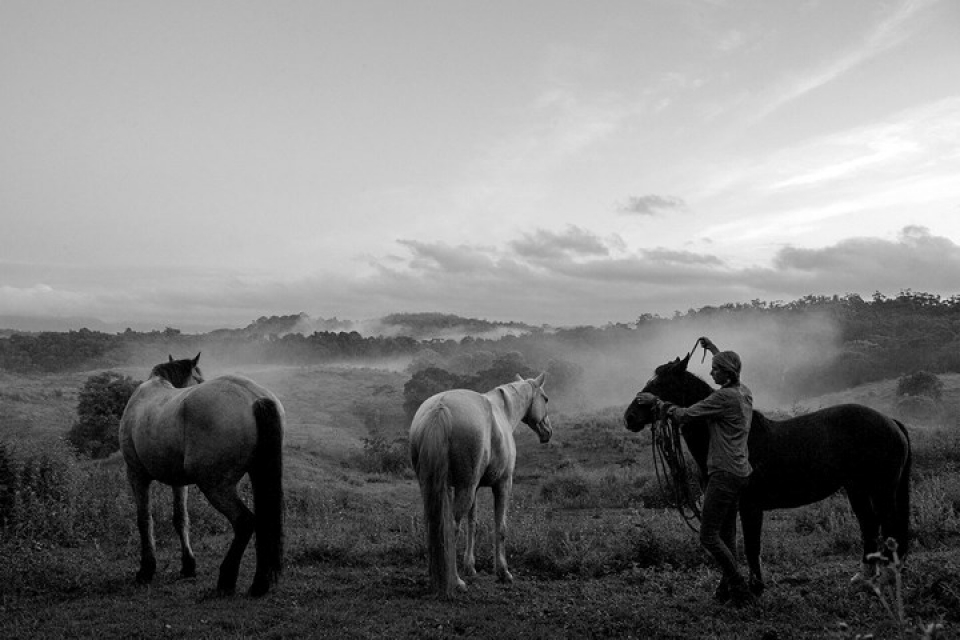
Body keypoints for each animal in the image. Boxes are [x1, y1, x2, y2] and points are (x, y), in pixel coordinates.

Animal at [406, 372, 556, 596]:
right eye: (545, 399)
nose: (548, 431)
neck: (502, 411)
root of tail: (440, 408)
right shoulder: (503, 484)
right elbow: (500, 527)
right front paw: (503, 572)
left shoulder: (473, 488)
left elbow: (473, 524)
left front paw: (470, 567)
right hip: (465, 488)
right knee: (451, 528)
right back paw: (456, 581)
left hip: (437, 488)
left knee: (435, 525)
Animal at [628, 352, 912, 592]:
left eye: (660, 384)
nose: (629, 417)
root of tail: (891, 421)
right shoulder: (728, 504)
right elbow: (728, 544)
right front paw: (728, 588)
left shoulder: (751, 506)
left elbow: (751, 546)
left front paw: (755, 587)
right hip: (857, 488)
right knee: (869, 524)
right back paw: (864, 576)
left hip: (882, 489)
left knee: (889, 526)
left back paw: (886, 577)